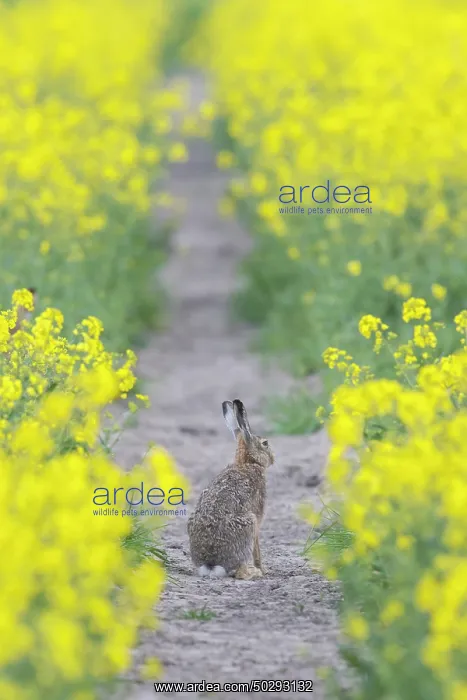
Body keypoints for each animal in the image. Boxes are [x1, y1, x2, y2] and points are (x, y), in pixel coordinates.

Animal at [187, 399, 274, 580]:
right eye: (265, 443)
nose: (273, 458)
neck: (248, 462)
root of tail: (211, 563)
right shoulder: (257, 518)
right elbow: (257, 549)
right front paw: (263, 569)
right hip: (249, 523)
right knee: (240, 572)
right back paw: (254, 572)